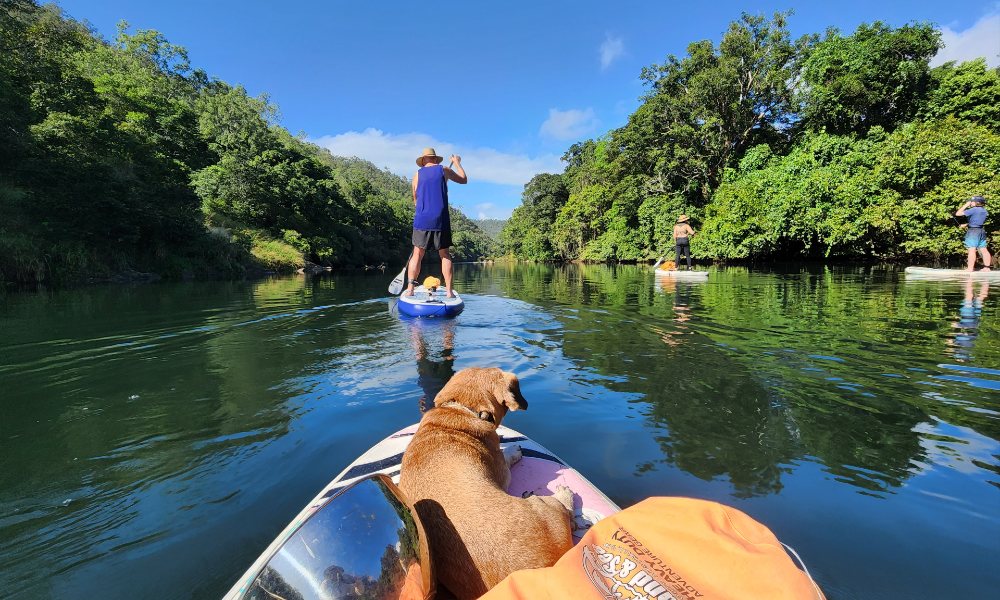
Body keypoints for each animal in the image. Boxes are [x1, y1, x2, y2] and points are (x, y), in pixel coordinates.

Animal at [396, 368, 572, 596]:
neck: (462, 410)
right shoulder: (503, 471)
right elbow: (508, 458)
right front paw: (513, 450)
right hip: (547, 507)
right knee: (568, 511)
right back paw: (565, 494)